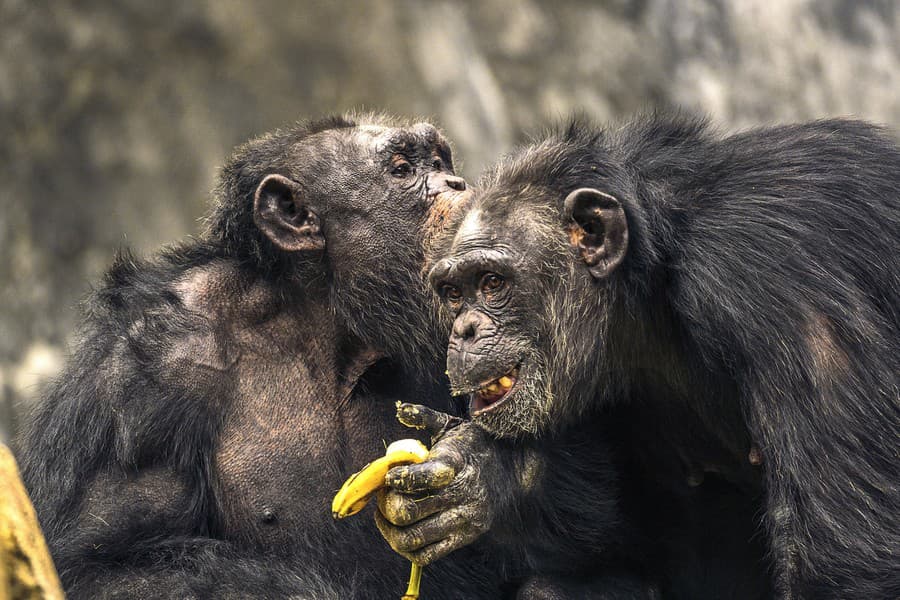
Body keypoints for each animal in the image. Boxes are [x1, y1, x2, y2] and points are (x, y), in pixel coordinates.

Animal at [15, 115, 506, 596]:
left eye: (440, 162)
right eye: (403, 170)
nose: (458, 184)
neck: (330, 324)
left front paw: (473, 475)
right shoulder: (135, 387)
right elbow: (102, 562)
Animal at [378, 115, 900, 596]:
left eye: (492, 282)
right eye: (452, 293)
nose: (463, 330)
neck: (652, 280)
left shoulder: (782, 289)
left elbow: (845, 550)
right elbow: (625, 525)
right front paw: (487, 473)